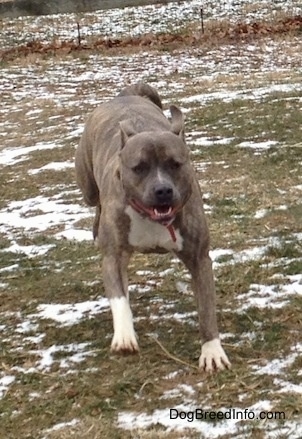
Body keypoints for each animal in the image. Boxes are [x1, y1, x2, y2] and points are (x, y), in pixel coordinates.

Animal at [74, 81, 230, 372]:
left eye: (175, 164)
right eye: (139, 167)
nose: (163, 190)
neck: (151, 218)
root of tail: (125, 95)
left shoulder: (199, 258)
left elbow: (206, 308)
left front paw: (212, 350)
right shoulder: (113, 256)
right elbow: (118, 298)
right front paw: (124, 335)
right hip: (87, 186)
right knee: (95, 203)